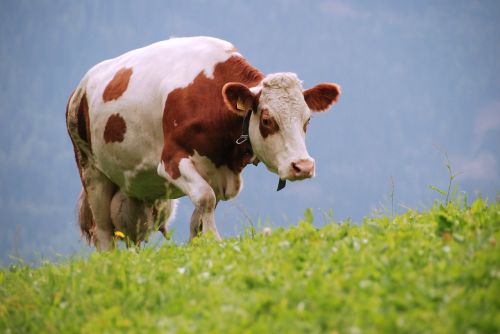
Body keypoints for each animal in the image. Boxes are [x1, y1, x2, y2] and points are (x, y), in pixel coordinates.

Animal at [65, 36, 340, 250]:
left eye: (307, 120)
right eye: (267, 120)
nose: (303, 166)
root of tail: (79, 89)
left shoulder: (217, 174)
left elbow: (200, 214)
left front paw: (198, 247)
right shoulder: (171, 161)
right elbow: (205, 198)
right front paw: (214, 241)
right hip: (91, 171)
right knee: (103, 232)